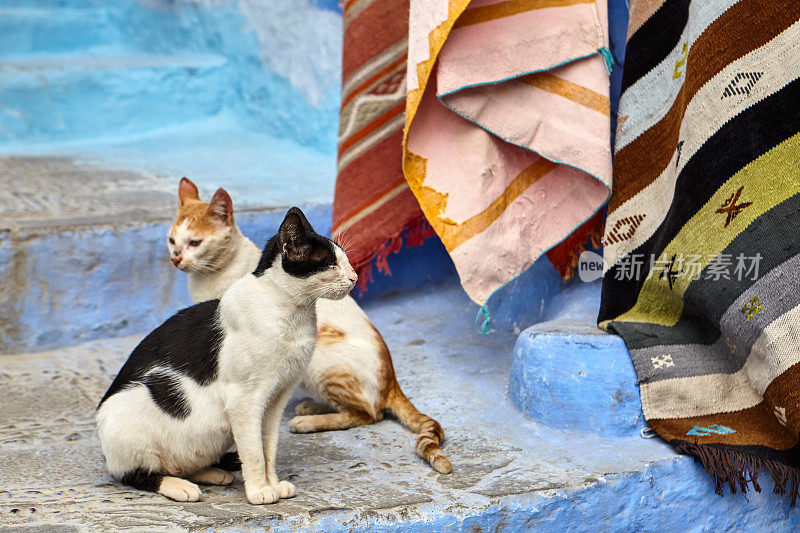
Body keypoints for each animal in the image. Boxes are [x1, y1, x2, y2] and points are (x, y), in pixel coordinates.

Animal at [94, 208, 356, 502]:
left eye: (346, 260)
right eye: (330, 263)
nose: (354, 277)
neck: (291, 312)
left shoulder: (277, 399)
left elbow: (268, 447)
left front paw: (273, 484)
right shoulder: (244, 400)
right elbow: (254, 452)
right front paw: (259, 491)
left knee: (186, 464)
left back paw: (212, 474)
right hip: (124, 423)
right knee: (137, 474)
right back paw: (180, 487)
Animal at [168, 179, 450, 474]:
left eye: (195, 242)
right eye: (172, 241)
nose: (176, 258)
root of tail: (392, 379)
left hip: (320, 365)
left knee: (368, 413)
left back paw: (307, 421)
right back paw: (310, 407)